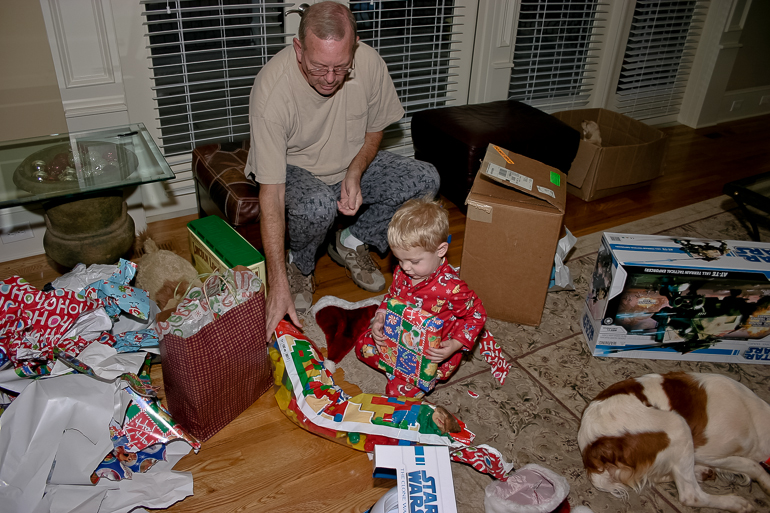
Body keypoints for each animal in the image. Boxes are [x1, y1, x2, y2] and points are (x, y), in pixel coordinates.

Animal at [576, 372, 768, 512]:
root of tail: (592, 446)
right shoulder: (707, 452)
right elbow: (752, 466)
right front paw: (766, 482)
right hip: (678, 425)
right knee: (691, 495)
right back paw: (735, 503)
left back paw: (701, 472)